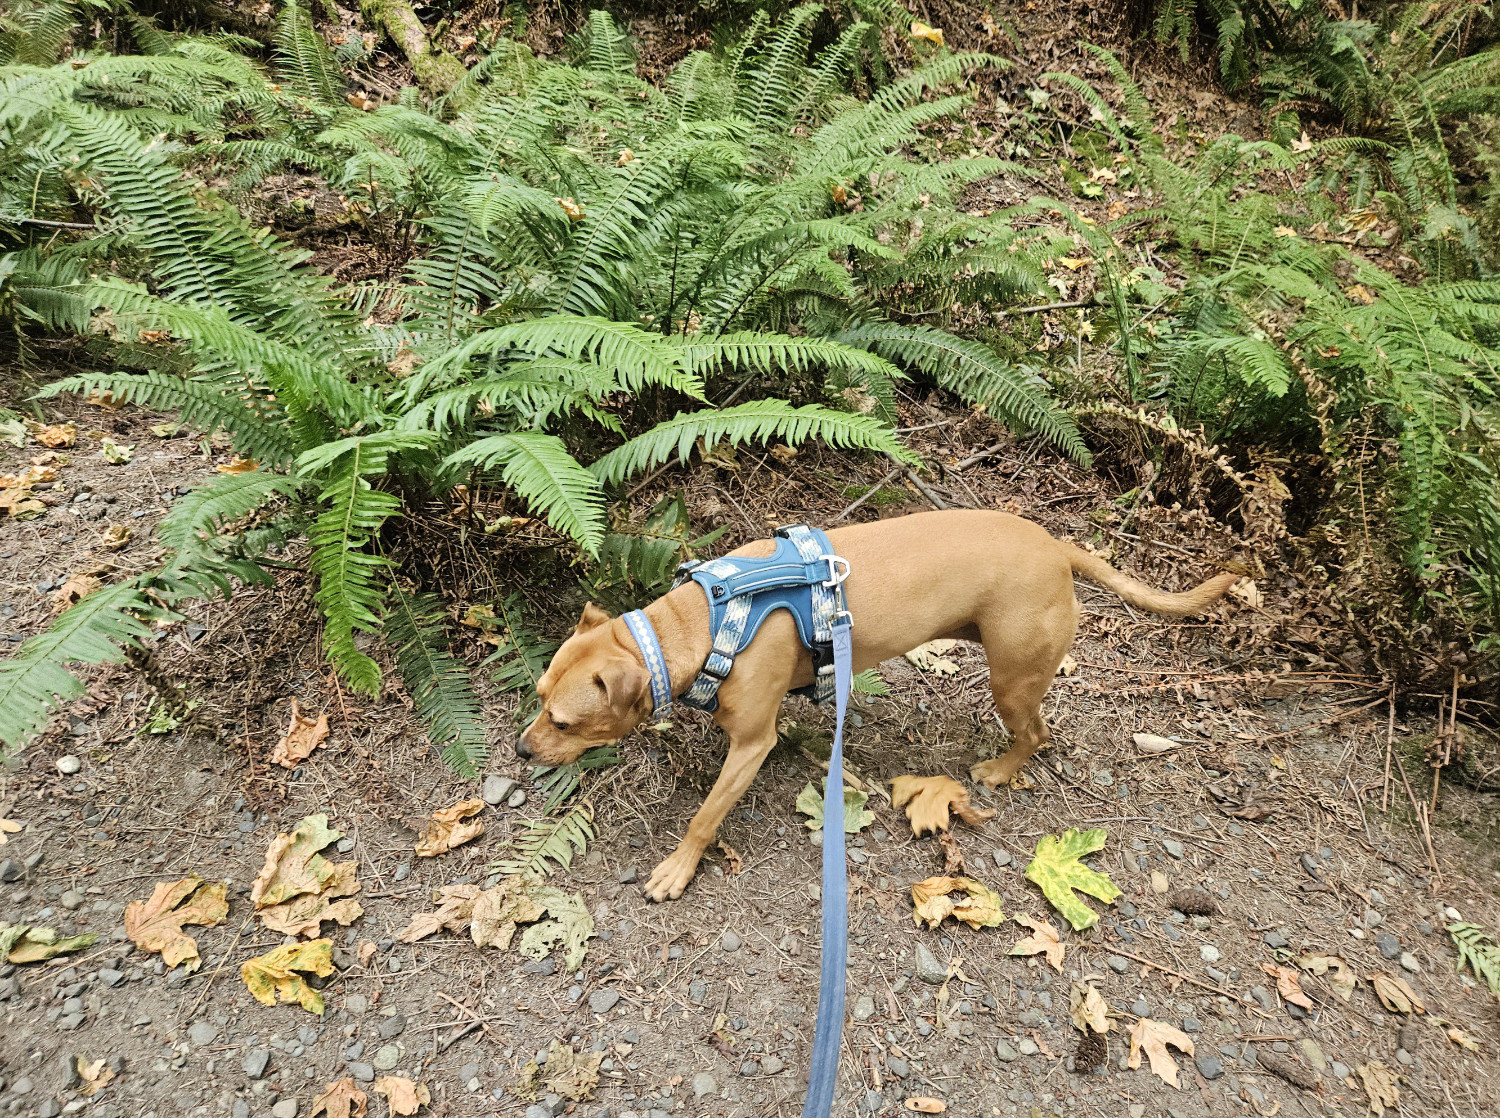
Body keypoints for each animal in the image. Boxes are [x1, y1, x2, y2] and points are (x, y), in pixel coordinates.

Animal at [522, 510, 1236, 900]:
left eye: (563, 721)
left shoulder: (753, 744)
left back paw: (1001, 770)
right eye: (537, 698)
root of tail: (1056, 546)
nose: (523, 748)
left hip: (1012, 678)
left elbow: (705, 816)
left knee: (1035, 733)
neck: (705, 623)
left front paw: (678, 867)